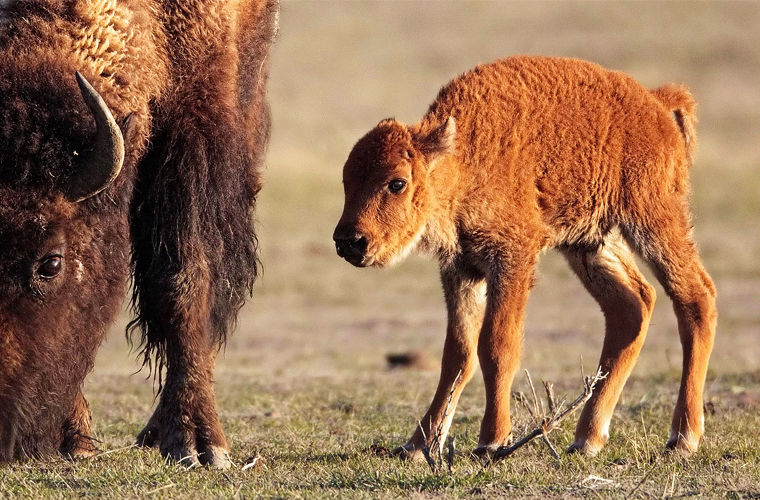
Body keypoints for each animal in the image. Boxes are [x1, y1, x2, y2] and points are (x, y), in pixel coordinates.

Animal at [336, 56, 716, 458]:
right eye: (347, 181)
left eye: (397, 182)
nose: (349, 242)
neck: (462, 160)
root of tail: (656, 102)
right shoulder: (462, 268)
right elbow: (458, 354)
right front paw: (418, 445)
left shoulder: (512, 259)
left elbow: (497, 346)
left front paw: (491, 440)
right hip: (590, 242)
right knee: (631, 307)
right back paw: (587, 439)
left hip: (653, 221)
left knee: (695, 298)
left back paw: (683, 437)